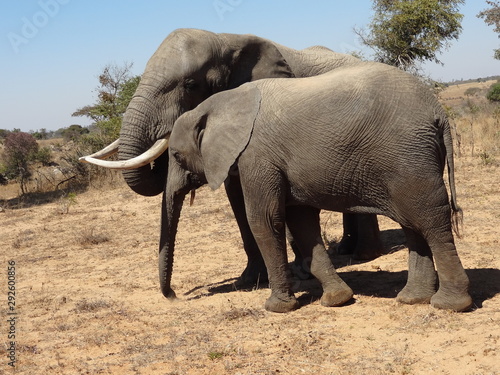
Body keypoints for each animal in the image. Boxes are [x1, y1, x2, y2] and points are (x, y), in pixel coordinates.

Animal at [165, 62, 472, 314]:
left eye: (177, 156)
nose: (175, 296)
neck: (220, 103)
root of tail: (438, 113)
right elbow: (302, 222)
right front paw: (338, 299)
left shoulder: (256, 156)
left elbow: (264, 220)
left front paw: (277, 308)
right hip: (410, 160)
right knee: (413, 223)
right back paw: (412, 299)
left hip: (409, 157)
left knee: (431, 221)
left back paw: (449, 304)